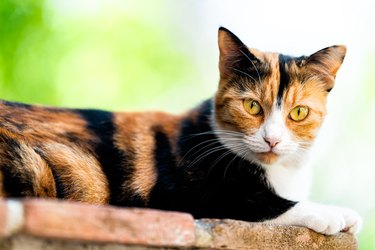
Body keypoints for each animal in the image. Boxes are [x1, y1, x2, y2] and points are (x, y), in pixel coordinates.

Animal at [0, 26, 362, 234]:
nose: (271, 139)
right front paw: (333, 214)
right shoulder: (184, 194)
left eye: (298, 112)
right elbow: (270, 204)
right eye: (252, 106)